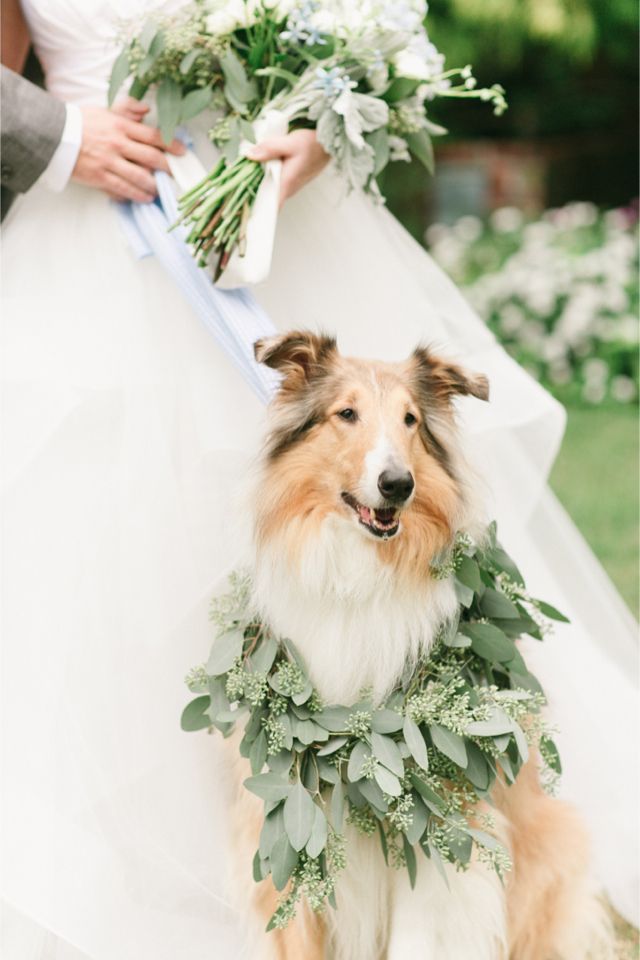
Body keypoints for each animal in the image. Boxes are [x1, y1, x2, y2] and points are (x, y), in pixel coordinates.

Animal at [225, 332, 608, 960]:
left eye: (410, 420)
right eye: (346, 414)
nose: (397, 485)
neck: (357, 578)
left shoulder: (441, 831)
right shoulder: (286, 819)